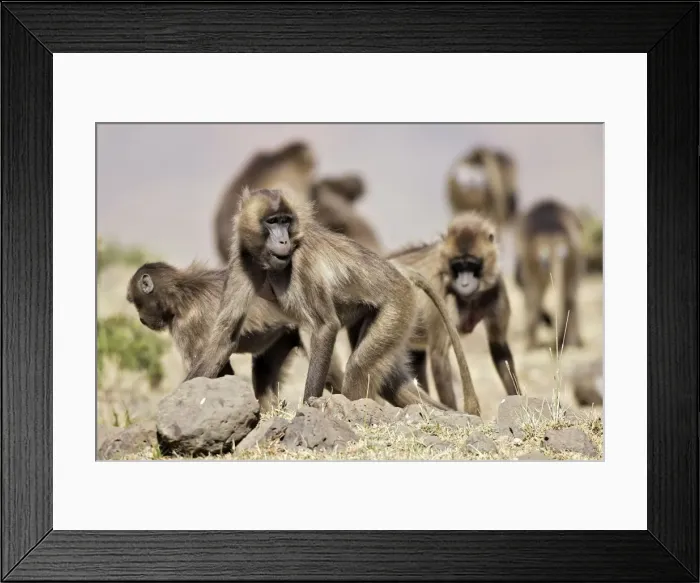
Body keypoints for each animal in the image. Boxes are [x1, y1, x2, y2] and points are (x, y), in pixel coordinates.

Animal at [126, 261, 346, 413]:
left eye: (136, 302)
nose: (141, 319)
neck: (181, 292)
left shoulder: (187, 324)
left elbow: (217, 352)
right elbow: (223, 368)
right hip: (282, 334)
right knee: (264, 369)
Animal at [185, 187, 479, 414]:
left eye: (285, 221)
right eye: (271, 221)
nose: (283, 241)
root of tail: (398, 272)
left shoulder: (303, 263)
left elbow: (325, 326)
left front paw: (308, 410)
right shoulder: (243, 259)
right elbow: (225, 336)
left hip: (398, 304)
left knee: (360, 367)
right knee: (391, 382)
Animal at [385, 211, 521, 408]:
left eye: (471, 265)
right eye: (458, 265)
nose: (464, 283)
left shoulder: (497, 287)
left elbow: (499, 347)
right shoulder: (440, 290)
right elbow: (439, 356)